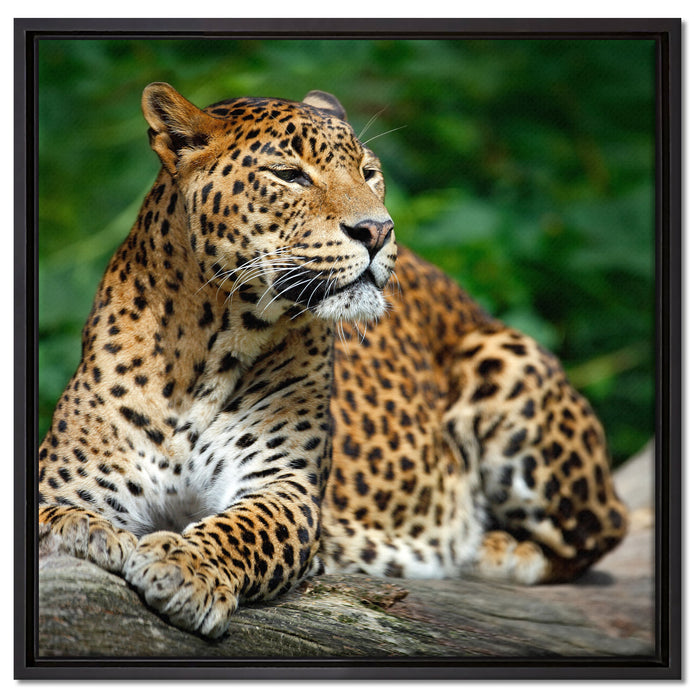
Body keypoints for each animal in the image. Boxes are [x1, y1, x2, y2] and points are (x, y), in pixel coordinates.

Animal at [38, 82, 628, 639]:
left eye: (369, 173)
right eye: (289, 175)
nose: (378, 230)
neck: (207, 348)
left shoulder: (284, 488)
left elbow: (240, 530)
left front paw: (185, 566)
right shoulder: (68, 479)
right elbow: (55, 512)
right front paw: (85, 531)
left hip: (507, 359)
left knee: (604, 530)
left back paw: (490, 548)